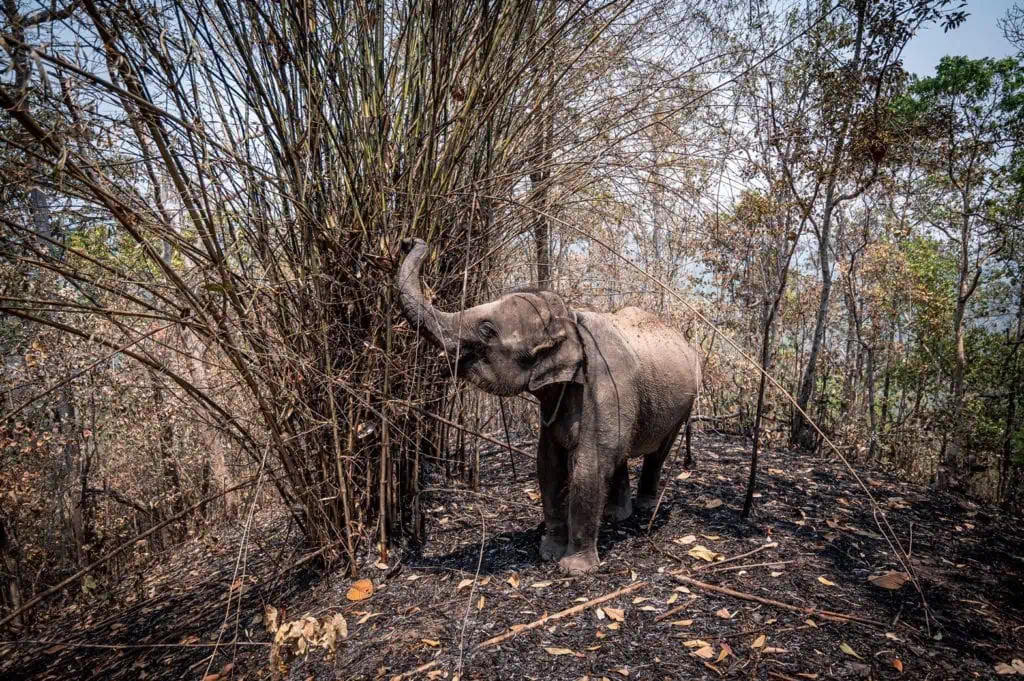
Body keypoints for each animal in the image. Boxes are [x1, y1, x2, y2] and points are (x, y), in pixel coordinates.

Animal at [393, 238, 704, 573]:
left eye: (487, 329)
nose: (409, 241)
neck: (571, 319)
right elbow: (548, 464)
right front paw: (549, 553)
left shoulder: (605, 387)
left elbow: (589, 468)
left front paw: (574, 569)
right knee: (619, 454)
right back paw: (615, 516)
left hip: (684, 403)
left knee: (658, 451)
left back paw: (645, 508)